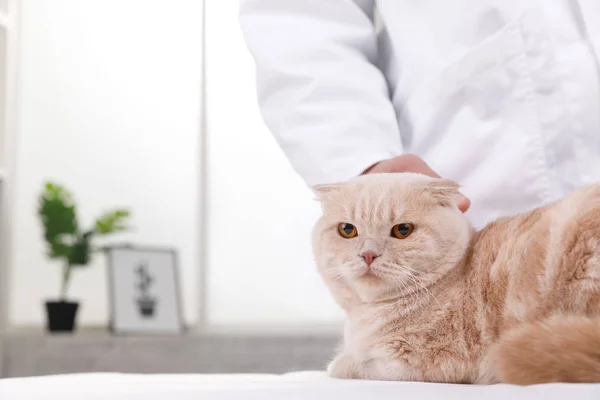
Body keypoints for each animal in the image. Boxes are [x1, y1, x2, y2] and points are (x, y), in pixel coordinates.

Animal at [312, 173, 600, 386]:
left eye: (402, 230)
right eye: (348, 230)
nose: (369, 254)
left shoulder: (430, 361)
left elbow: (354, 365)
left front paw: (340, 362)